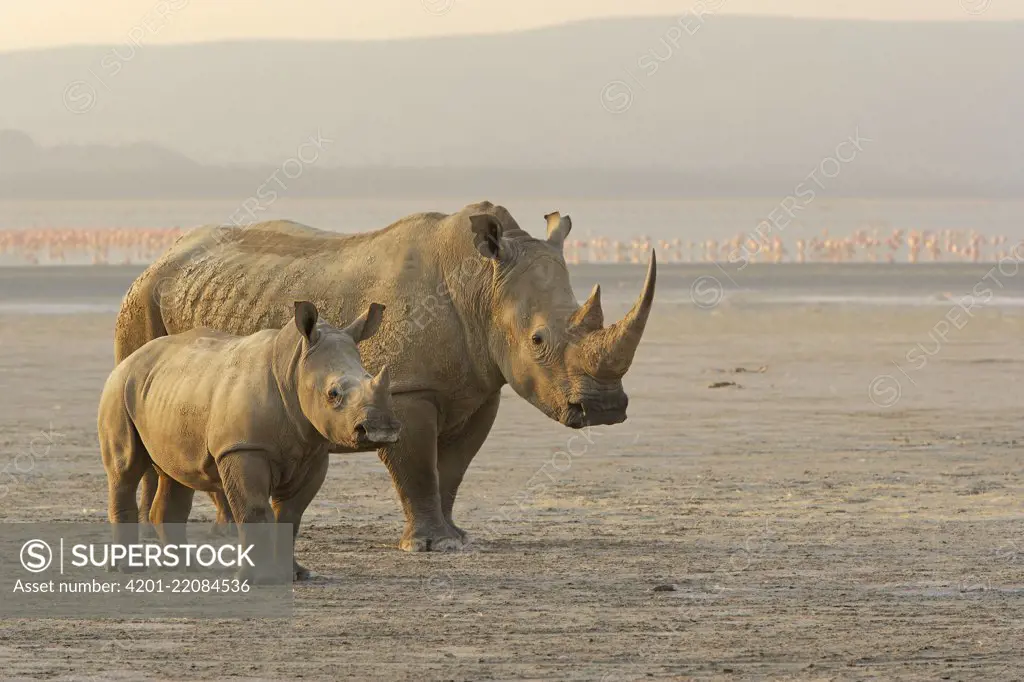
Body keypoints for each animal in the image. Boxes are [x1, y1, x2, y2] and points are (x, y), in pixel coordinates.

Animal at [98, 301, 395, 577]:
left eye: (373, 378)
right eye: (333, 394)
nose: (380, 429)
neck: (293, 367)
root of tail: (131, 358)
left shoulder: (314, 452)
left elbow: (291, 515)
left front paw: (296, 574)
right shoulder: (242, 448)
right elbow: (254, 509)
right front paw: (261, 578)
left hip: (169, 392)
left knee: (177, 473)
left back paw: (187, 567)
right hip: (119, 387)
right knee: (125, 470)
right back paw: (127, 569)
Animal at [114, 199, 655, 548]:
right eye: (539, 341)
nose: (606, 408)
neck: (482, 283)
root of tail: (163, 256)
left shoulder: (481, 388)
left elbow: (452, 468)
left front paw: (456, 537)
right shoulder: (408, 391)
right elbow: (418, 467)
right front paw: (433, 546)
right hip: (141, 303)